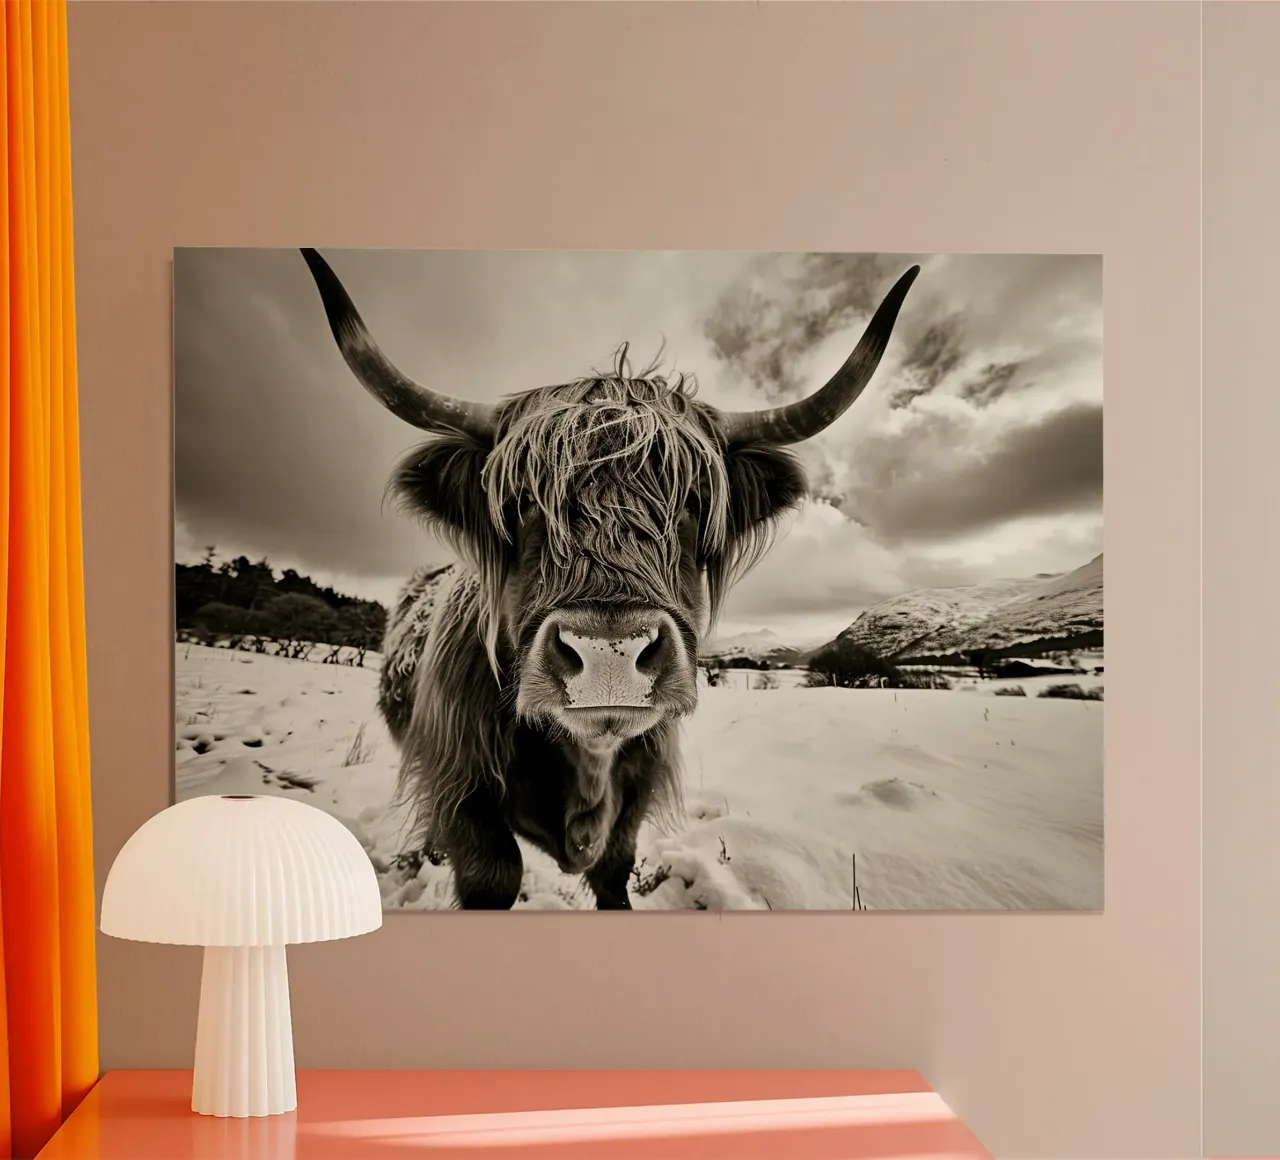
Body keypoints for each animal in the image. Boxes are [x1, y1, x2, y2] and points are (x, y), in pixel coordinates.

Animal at [299, 248, 919, 909]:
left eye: (693, 501)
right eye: (522, 500)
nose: (609, 654)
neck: (589, 762)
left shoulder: (639, 790)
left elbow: (614, 868)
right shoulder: (459, 780)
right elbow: (493, 873)